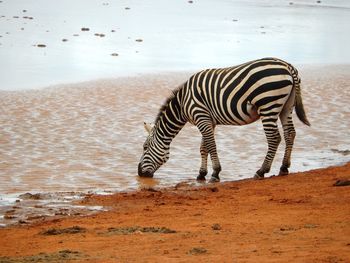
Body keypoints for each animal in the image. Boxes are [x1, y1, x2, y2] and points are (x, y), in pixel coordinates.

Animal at [138, 57, 310, 184]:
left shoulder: (201, 116)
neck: (182, 104)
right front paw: (201, 174)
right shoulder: (208, 120)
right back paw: (284, 168)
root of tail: (287, 65)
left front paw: (215, 173)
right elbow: (204, 147)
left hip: (268, 104)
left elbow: (211, 145)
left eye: (145, 147)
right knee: (290, 134)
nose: (139, 173)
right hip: (286, 106)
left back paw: (261, 171)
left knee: (274, 138)